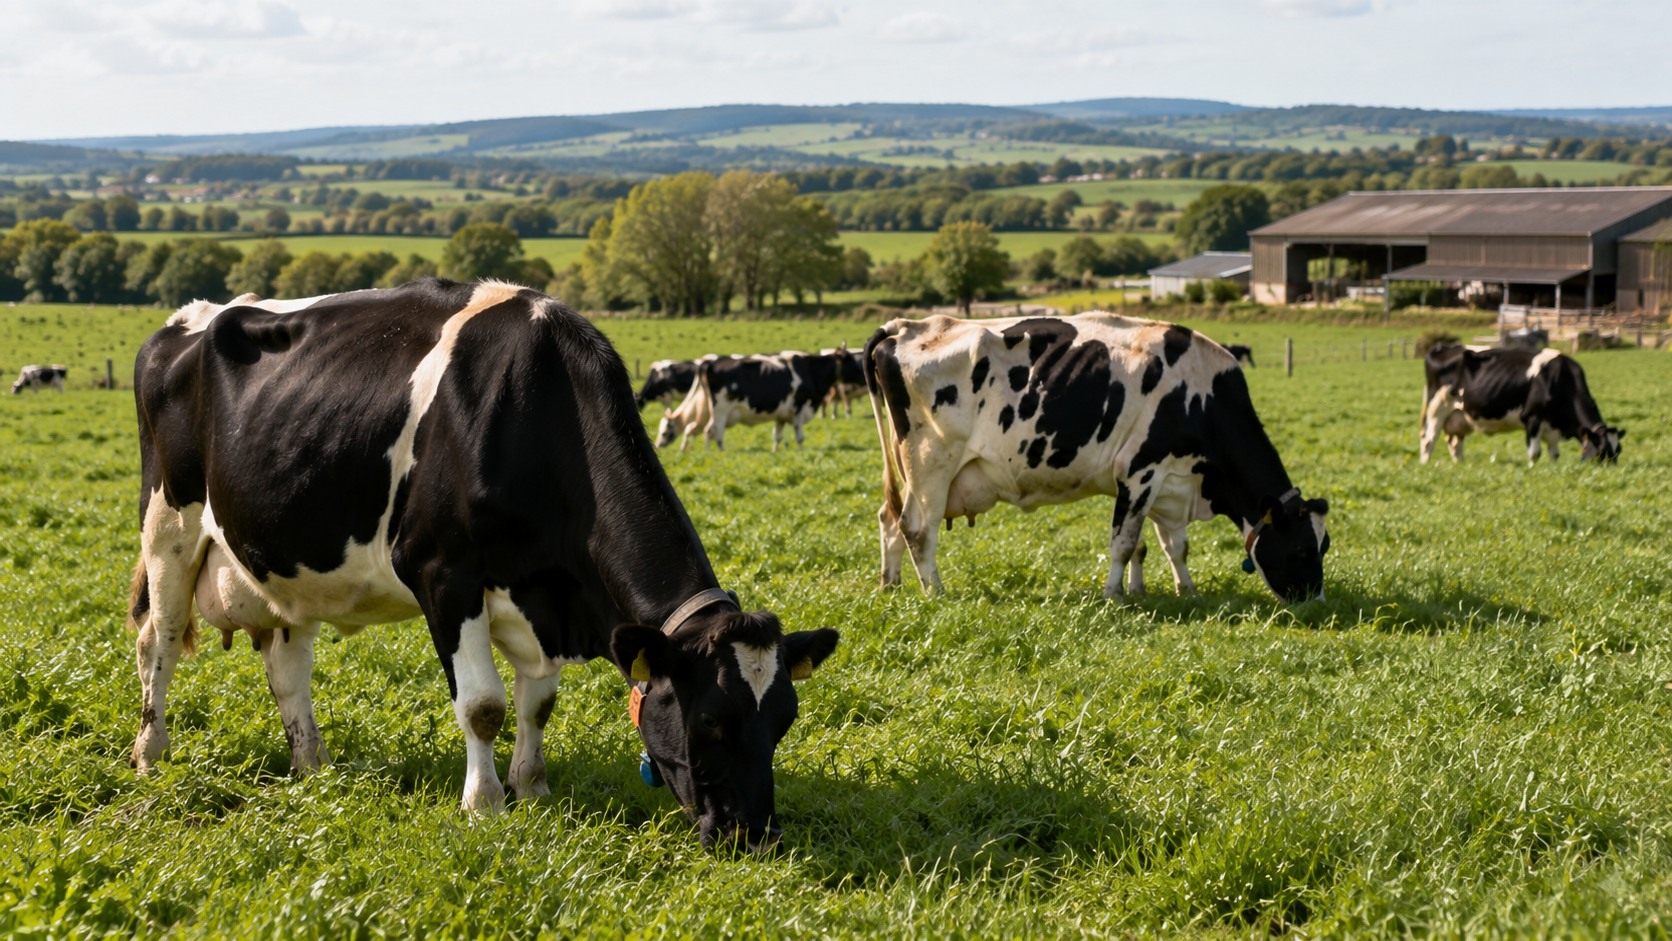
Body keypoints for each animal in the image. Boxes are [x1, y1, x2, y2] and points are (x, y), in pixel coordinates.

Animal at [657, 351, 839, 451]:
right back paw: (718, 452)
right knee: (712, 430)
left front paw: (777, 451)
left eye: (664, 432)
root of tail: (708, 363)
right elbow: (799, 436)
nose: (658, 445)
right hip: (720, 409)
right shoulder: (799, 408)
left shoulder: (782, 414)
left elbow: (778, 436)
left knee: (710, 430)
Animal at [864, 313, 1330, 603]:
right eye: (1302, 549)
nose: (1317, 602)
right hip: (931, 462)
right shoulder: (1142, 471)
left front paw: (1180, 590)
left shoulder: (1164, 479)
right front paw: (1113, 595)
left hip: (910, 469)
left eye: (1324, 546)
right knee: (917, 528)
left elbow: (1166, 545)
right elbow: (1124, 544)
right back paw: (936, 593)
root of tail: (906, 326)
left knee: (890, 519)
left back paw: (891, 585)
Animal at [1419, 343, 1624, 465]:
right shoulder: (1532, 418)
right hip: (1436, 408)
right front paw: (1532, 471)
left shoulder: (1553, 426)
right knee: (1428, 440)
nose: (1610, 473)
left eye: (1618, 451)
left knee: (1455, 443)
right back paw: (1426, 465)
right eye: (1601, 451)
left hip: (1459, 416)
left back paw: (1460, 465)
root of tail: (1440, 348)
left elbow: (1554, 454)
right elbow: (1534, 452)